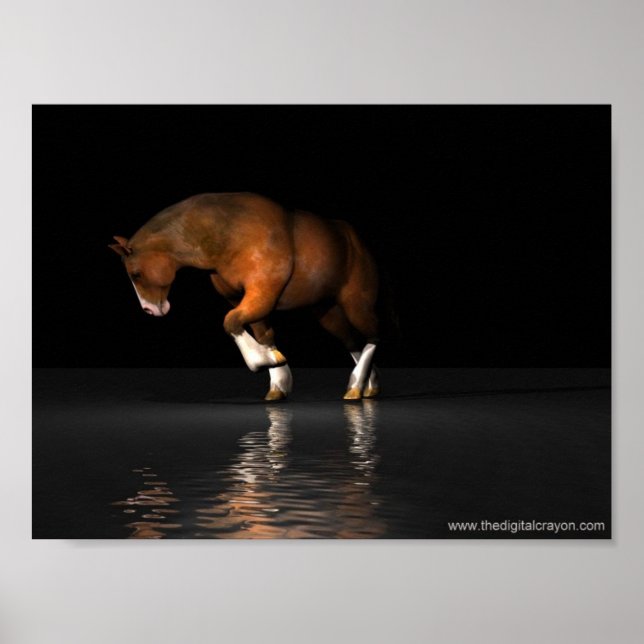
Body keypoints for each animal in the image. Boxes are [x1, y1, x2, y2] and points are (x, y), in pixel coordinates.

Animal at [109, 192, 381, 401]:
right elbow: (261, 334)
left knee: (373, 335)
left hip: (356, 303)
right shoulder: (243, 298)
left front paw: (262, 362)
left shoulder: (262, 293)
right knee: (352, 341)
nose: (149, 310)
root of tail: (353, 238)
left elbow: (231, 321)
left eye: (136, 274)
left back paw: (357, 386)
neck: (230, 233)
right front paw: (278, 381)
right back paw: (367, 386)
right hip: (327, 312)